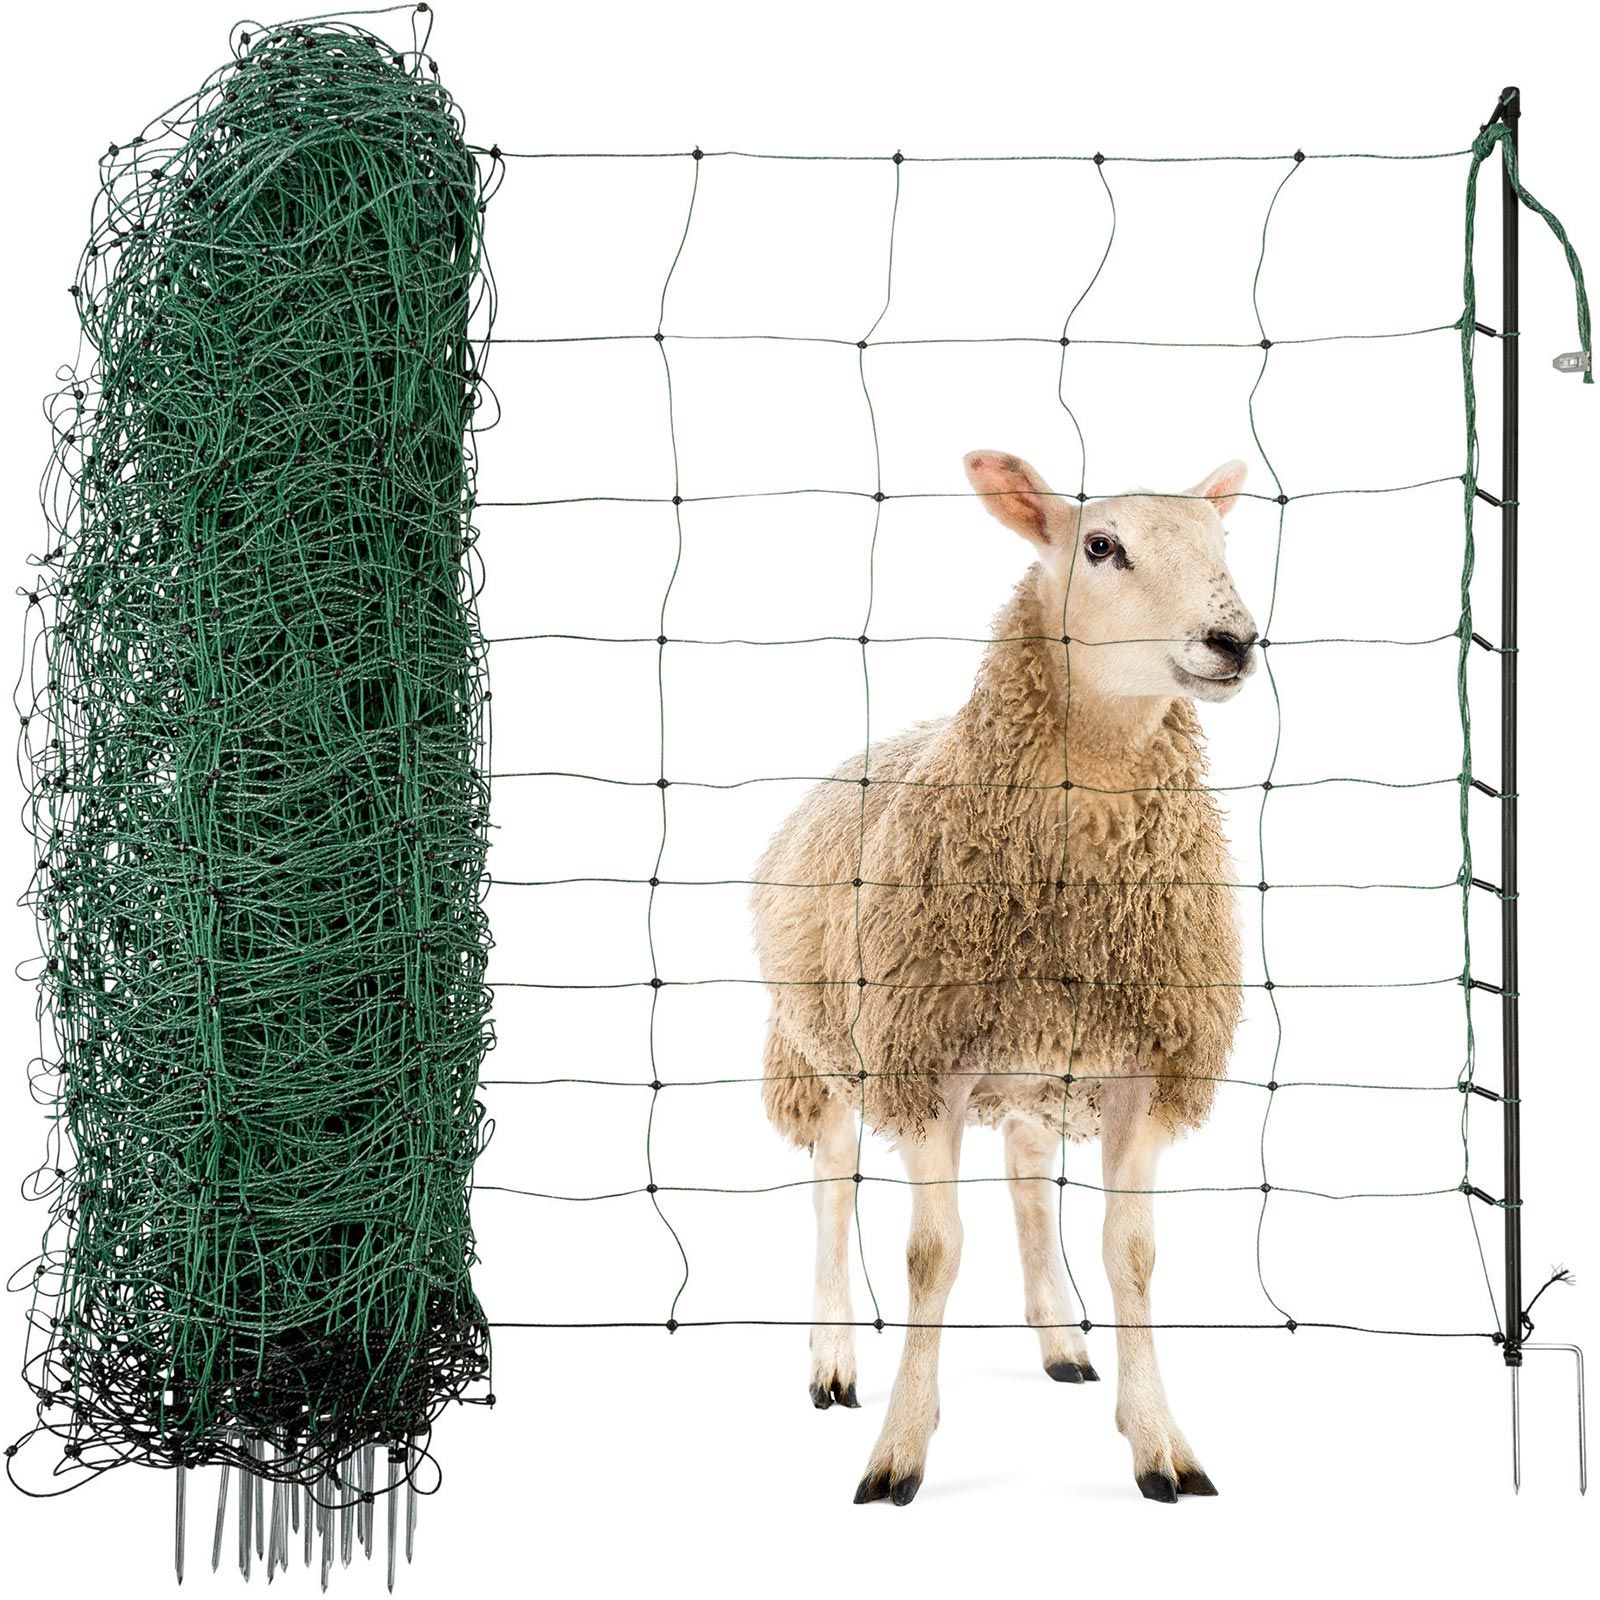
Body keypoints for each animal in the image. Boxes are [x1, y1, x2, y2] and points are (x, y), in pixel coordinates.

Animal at [751, 449, 1258, 1506]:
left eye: (1221, 540)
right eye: (1101, 545)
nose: (1234, 642)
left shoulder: (1142, 1068)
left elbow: (1132, 1254)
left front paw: (1159, 1442)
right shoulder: (921, 1062)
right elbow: (930, 1254)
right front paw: (899, 1451)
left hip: (1034, 1060)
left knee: (1028, 1178)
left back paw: (1061, 1338)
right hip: (819, 1051)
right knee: (830, 1189)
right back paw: (832, 1359)